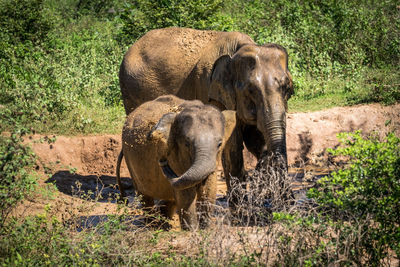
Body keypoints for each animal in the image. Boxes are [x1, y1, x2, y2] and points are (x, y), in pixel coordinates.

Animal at [115, 95, 236, 229]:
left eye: (220, 144)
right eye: (187, 143)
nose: (162, 160)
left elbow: (209, 188)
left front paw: (205, 228)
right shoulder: (174, 156)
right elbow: (186, 194)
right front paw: (191, 230)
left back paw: (164, 225)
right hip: (130, 160)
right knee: (144, 195)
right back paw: (152, 225)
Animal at [119, 26, 294, 195]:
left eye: (287, 89)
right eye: (251, 90)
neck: (238, 50)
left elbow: (255, 139)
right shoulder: (210, 90)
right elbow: (233, 148)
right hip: (130, 90)